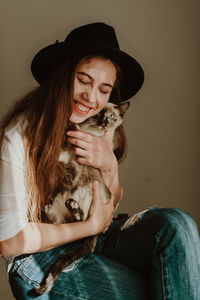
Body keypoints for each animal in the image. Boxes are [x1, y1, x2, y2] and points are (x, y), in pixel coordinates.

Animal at [34, 100, 130, 292]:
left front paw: (71, 124)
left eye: (111, 116)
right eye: (99, 114)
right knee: (62, 224)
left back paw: (72, 207)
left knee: (84, 221)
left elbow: (74, 129)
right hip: (59, 205)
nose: (104, 122)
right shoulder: (64, 153)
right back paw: (50, 209)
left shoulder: (86, 141)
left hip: (92, 192)